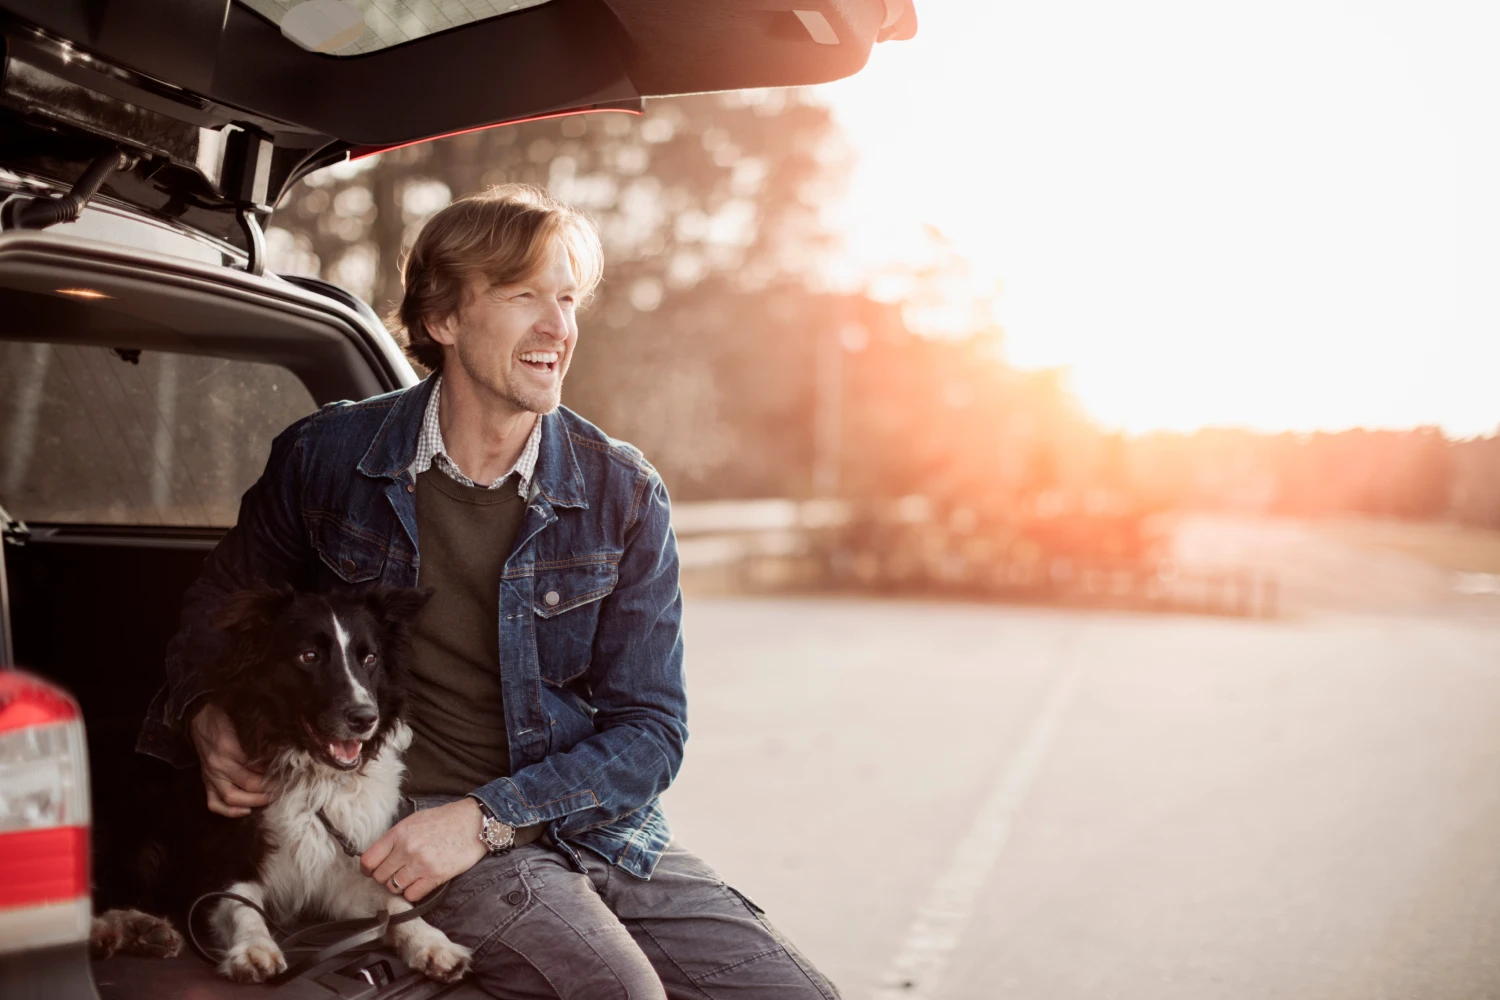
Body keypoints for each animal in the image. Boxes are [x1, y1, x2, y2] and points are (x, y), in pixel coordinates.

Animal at [93, 587, 468, 983]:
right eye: (309, 656)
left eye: (370, 659)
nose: (365, 718)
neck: (312, 777)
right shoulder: (218, 865)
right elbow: (243, 905)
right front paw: (255, 948)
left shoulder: (339, 878)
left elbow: (394, 904)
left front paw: (433, 942)